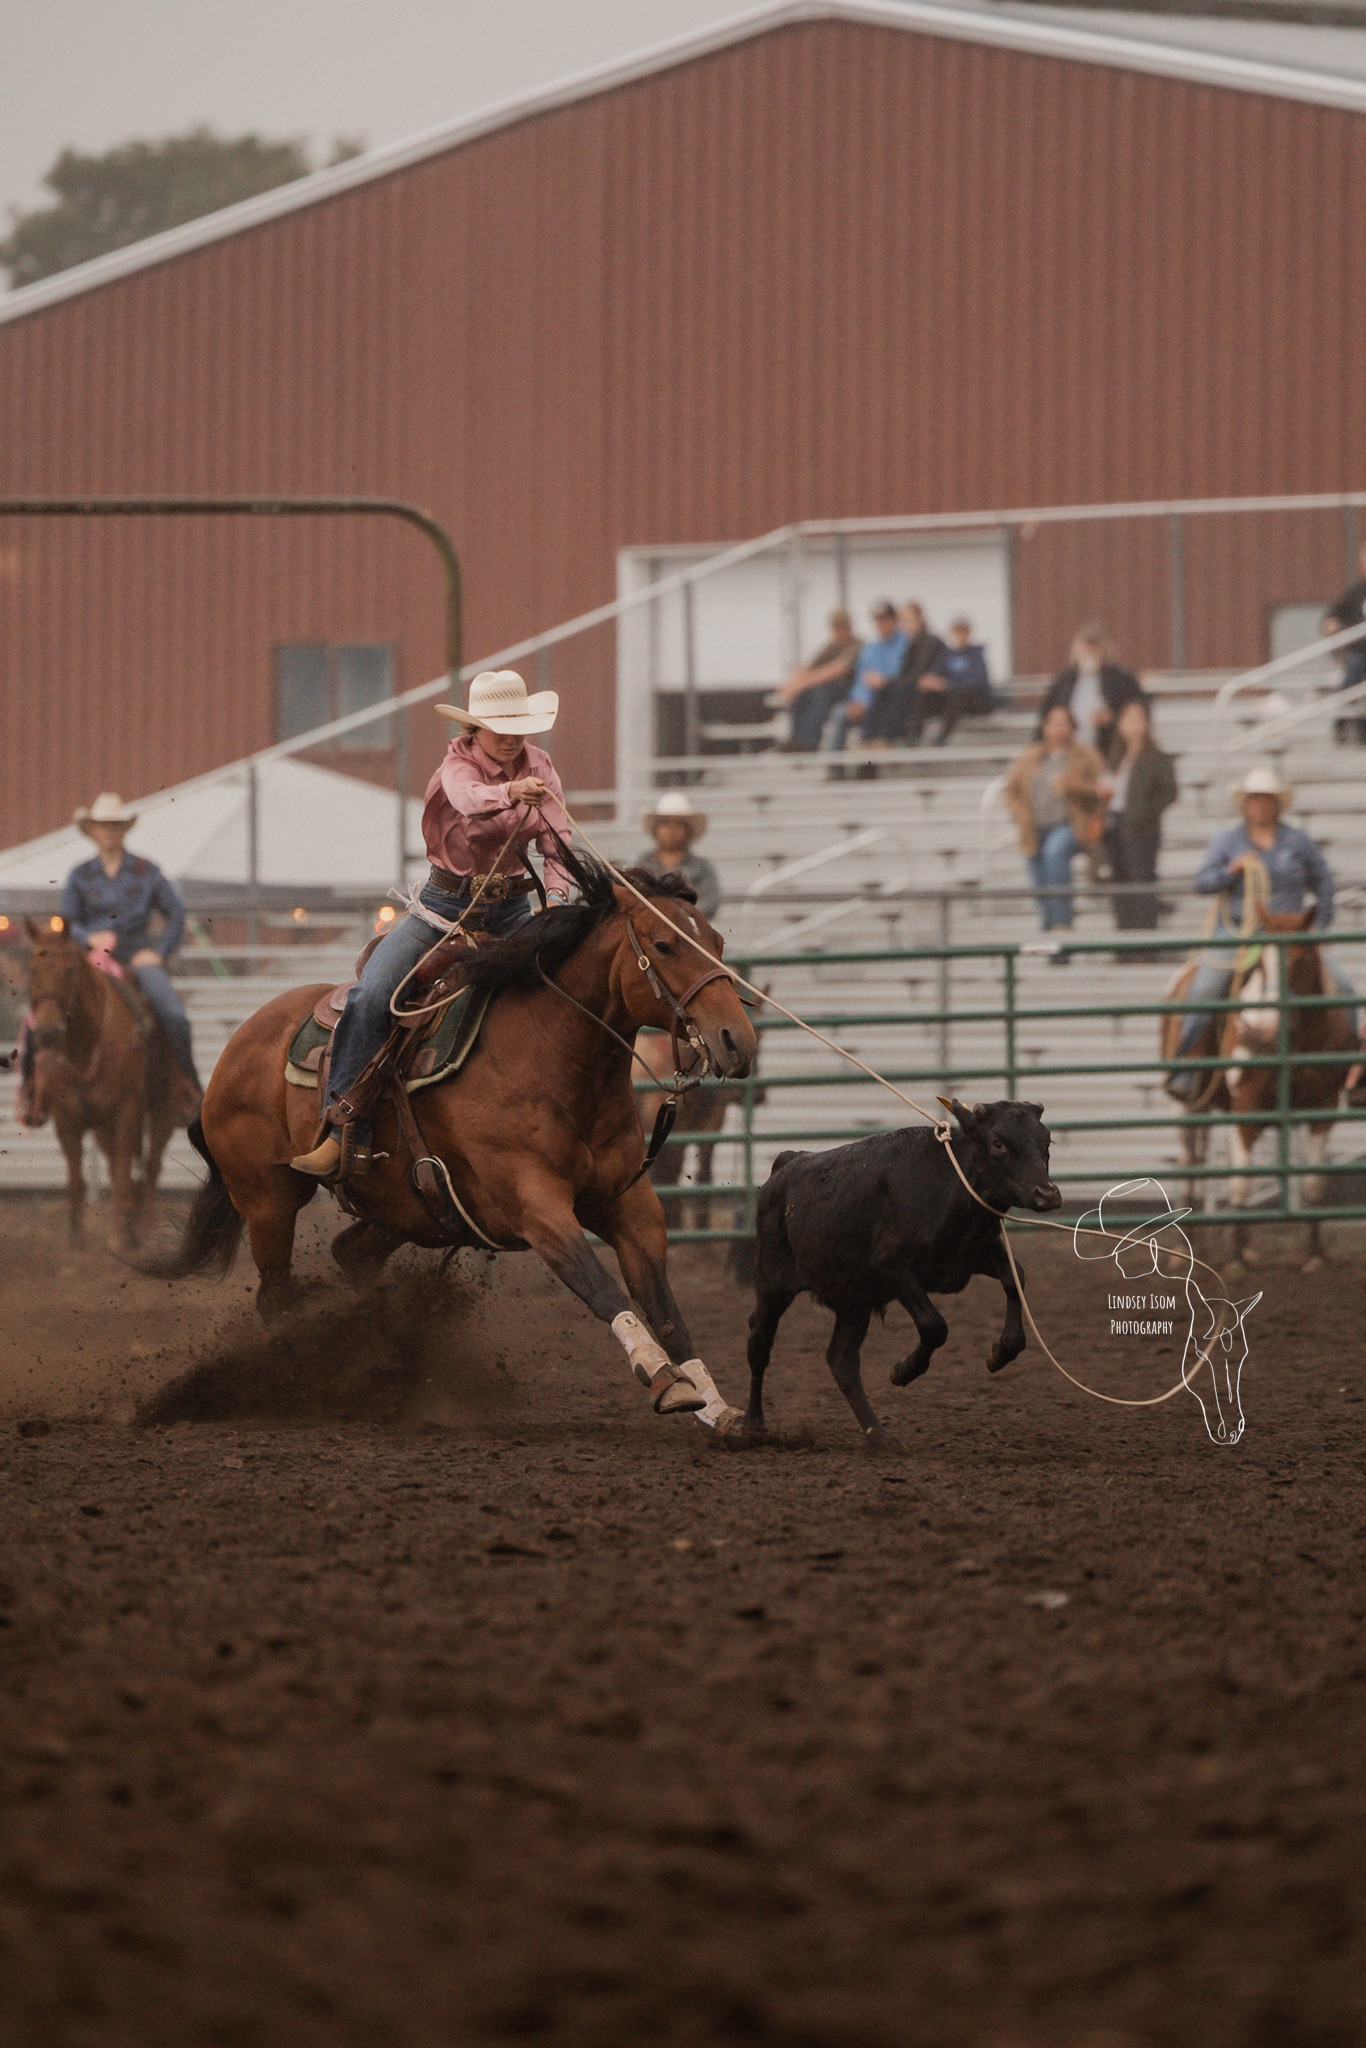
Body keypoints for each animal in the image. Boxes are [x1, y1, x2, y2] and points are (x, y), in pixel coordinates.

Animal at [23, 917, 181, 1245]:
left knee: (152, 1163)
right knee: (118, 1162)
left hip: (164, 1108)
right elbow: (77, 1178)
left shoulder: (127, 1112)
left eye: (70, 971)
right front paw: (76, 1238)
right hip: (102, 1124)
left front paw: (119, 1236)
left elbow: (123, 1171)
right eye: (32, 970)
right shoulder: (66, 1119)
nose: (48, 1032)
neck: (84, 1047)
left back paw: (145, 1224)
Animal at [154, 860, 765, 1425]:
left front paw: (716, 1404)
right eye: (665, 944)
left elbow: (665, 1306)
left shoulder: (629, 1205)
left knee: (350, 1254)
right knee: (275, 1297)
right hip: (269, 1200)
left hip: (406, 1208)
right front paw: (664, 1378)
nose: (737, 1040)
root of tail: (240, 1042)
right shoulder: (536, 1206)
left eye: (716, 942)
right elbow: (600, 1287)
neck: (550, 1053)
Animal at [749, 1105, 1056, 1441]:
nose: (1047, 1193)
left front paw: (1002, 1350)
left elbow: (1016, 1279)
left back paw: (879, 1436)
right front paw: (903, 1370)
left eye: (1046, 1142)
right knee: (759, 1343)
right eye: (998, 1143)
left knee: (842, 1360)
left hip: (853, 1301)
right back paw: (752, 1422)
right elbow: (934, 1325)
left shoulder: (974, 1255)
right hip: (773, 1284)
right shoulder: (892, 1268)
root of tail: (788, 1163)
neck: (948, 1185)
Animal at [1163, 913, 1359, 1261]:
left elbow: (1313, 1183)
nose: (1265, 1024)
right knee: (1189, 1164)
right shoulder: (1247, 1104)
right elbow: (1240, 1182)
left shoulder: (1324, 1106)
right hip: (1187, 1106)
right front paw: (1235, 1260)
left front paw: (1314, 1253)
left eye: (1303, 957)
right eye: (1260, 966)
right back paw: (1186, 1247)